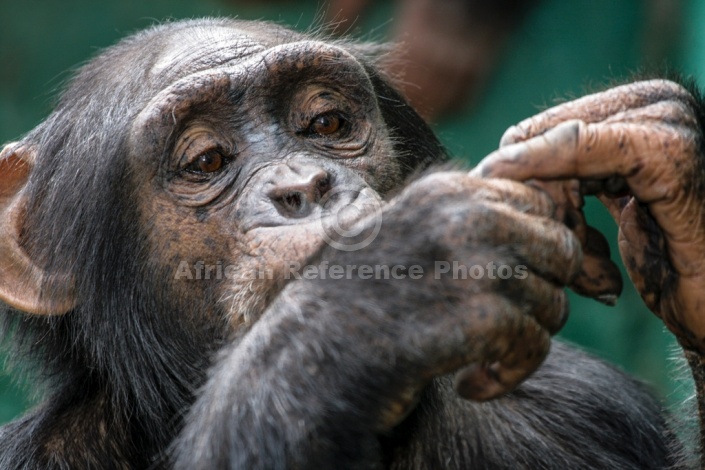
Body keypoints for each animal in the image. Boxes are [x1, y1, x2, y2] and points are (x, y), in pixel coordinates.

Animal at [0, 16, 696, 468]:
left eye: (326, 122)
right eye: (206, 161)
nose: (305, 186)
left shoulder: (597, 404)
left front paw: (670, 171)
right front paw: (383, 295)